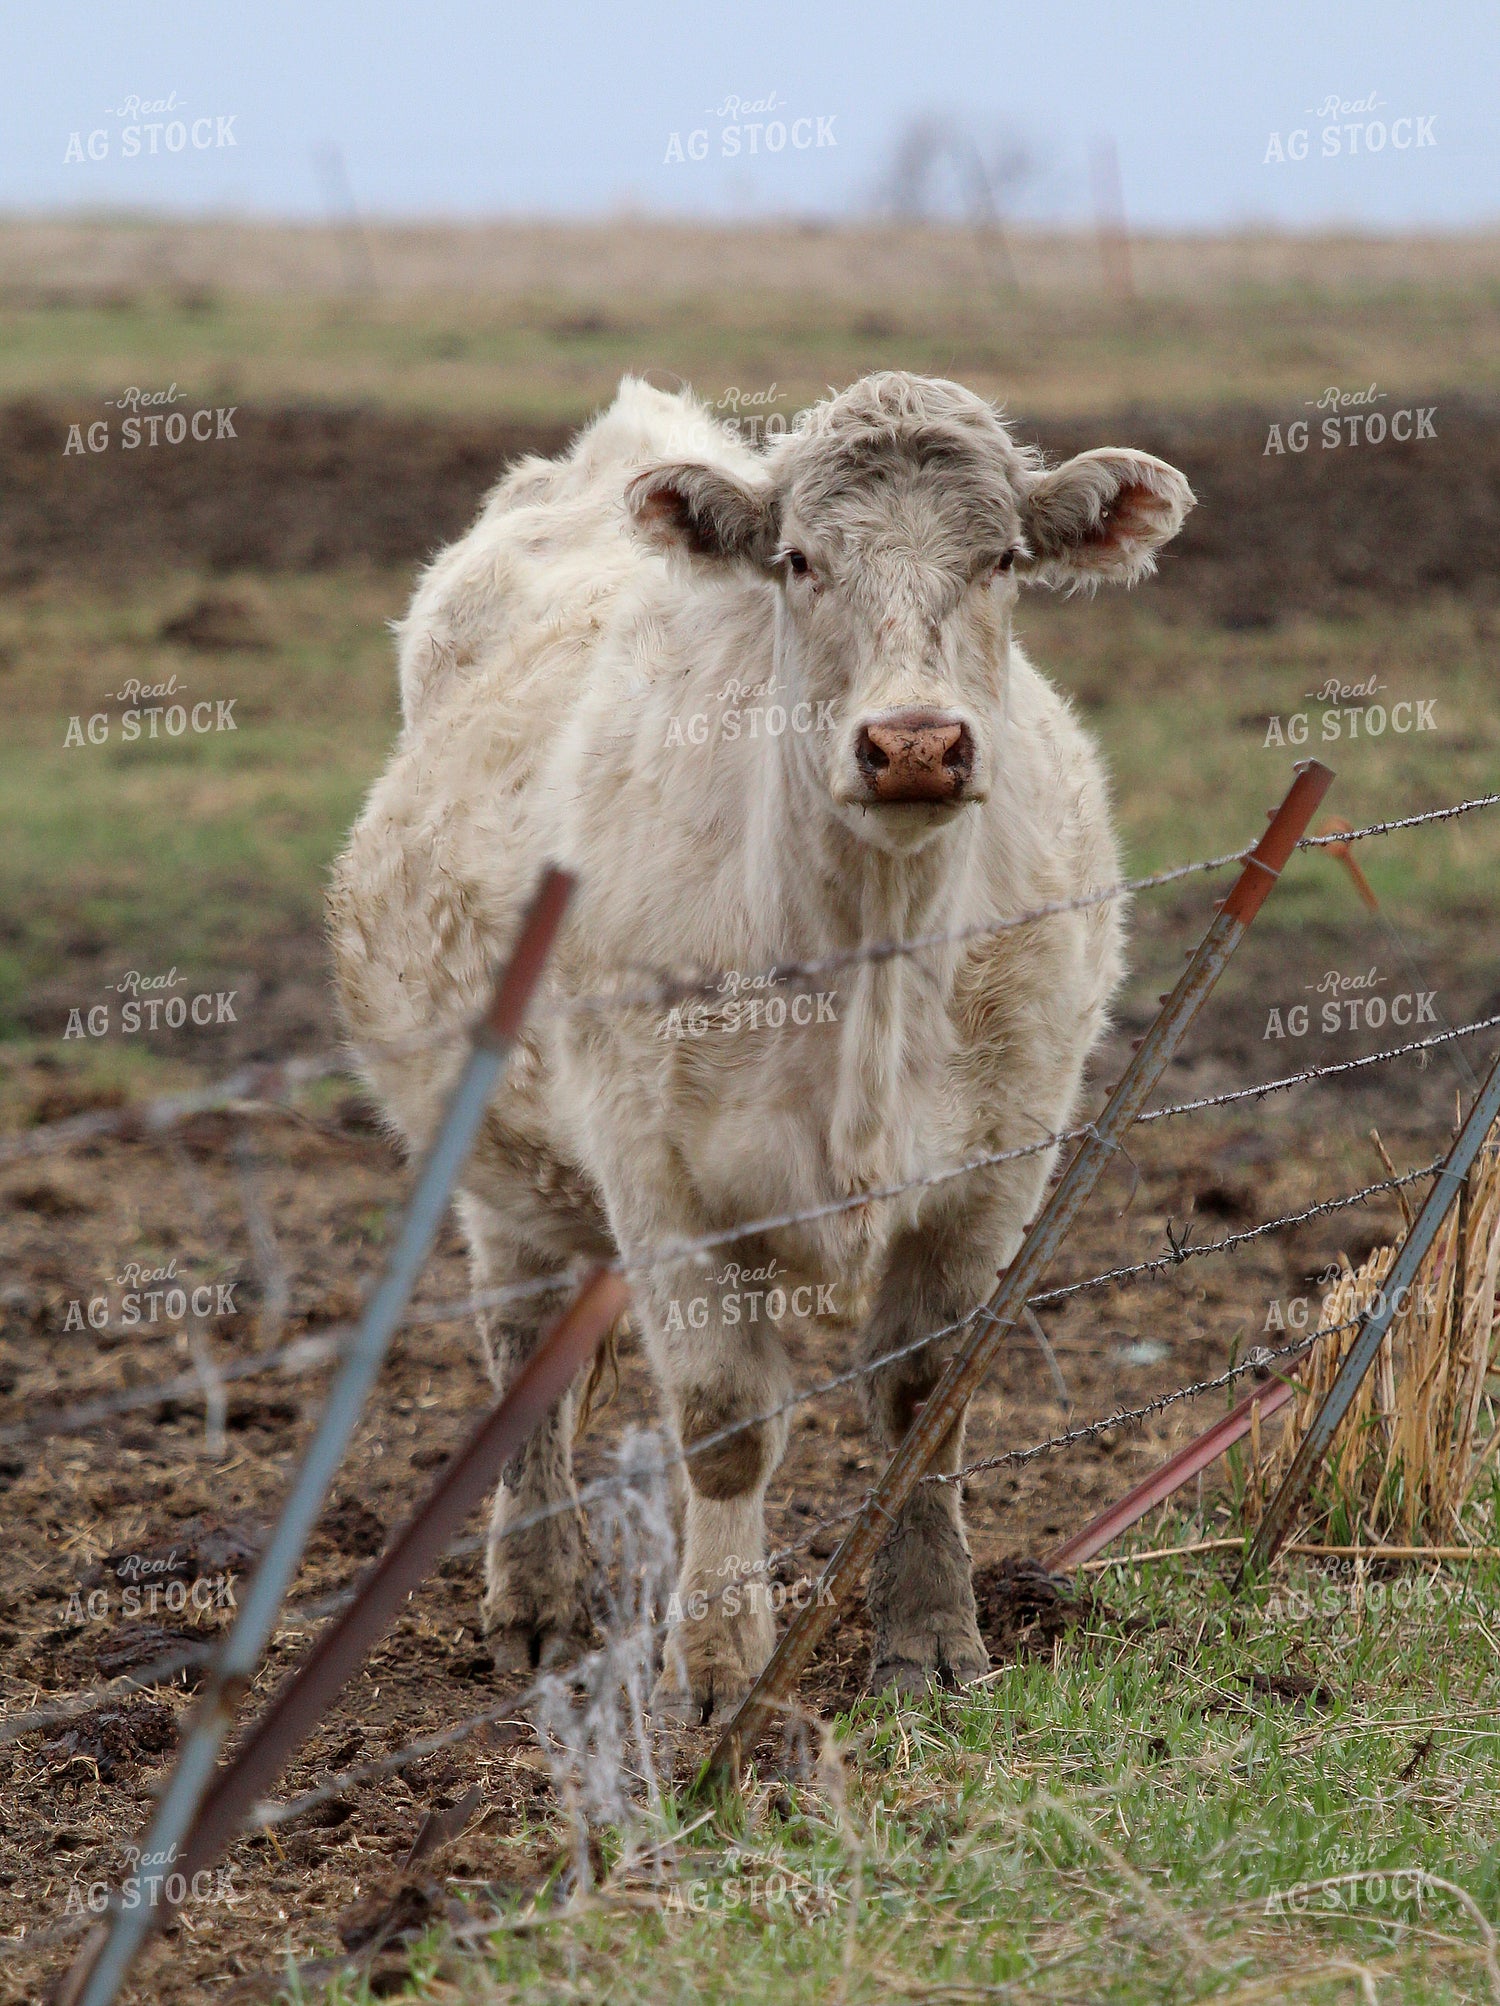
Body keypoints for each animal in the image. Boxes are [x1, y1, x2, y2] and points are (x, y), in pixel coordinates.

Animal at [327, 372, 1194, 1723]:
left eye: (1003, 558)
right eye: (798, 561)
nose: (913, 742)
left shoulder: (996, 1171)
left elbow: (922, 1399)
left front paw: (931, 1639)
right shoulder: (662, 1181)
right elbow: (728, 1424)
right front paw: (724, 1661)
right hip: (497, 1158)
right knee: (520, 1349)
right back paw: (538, 1597)